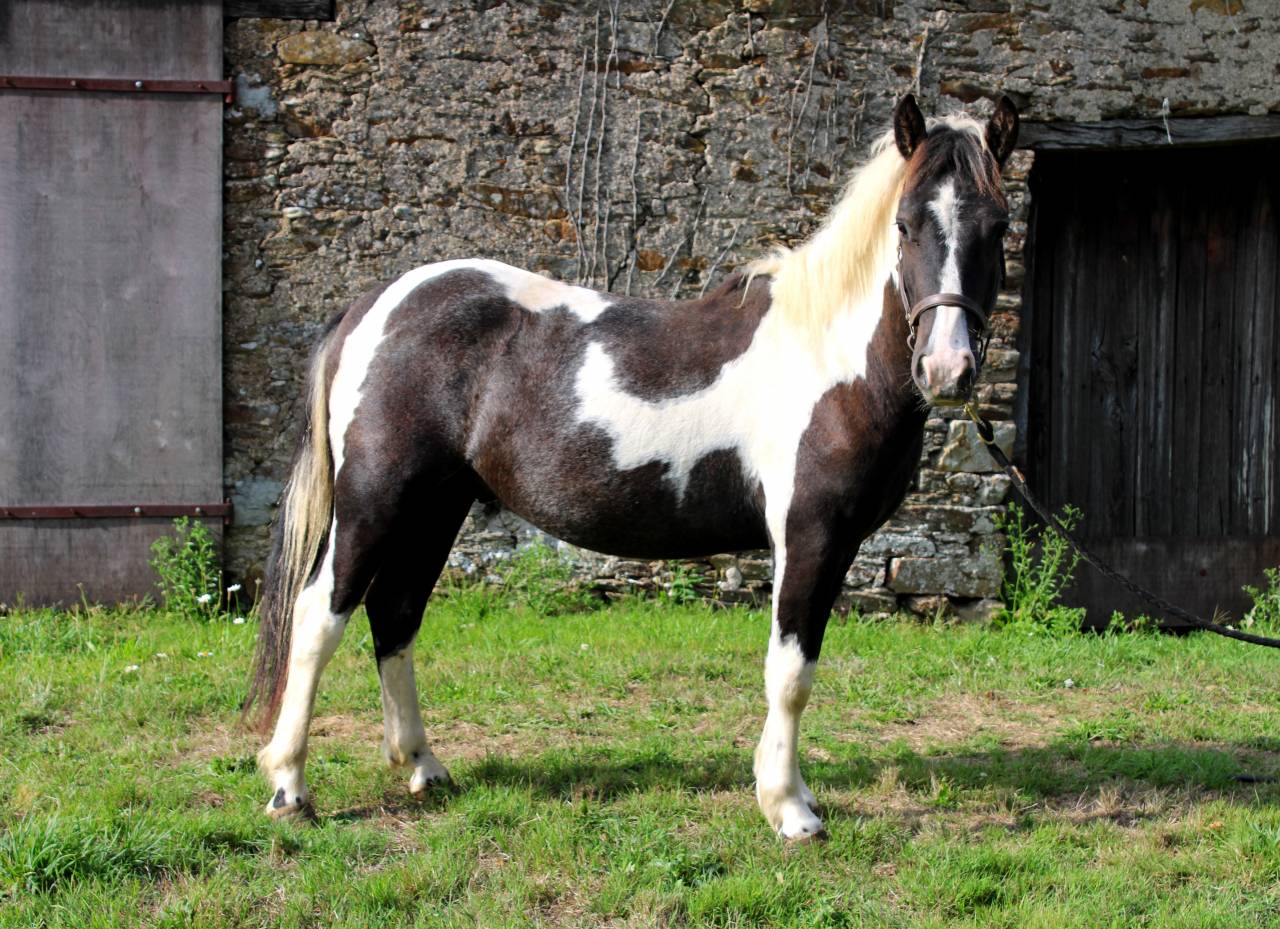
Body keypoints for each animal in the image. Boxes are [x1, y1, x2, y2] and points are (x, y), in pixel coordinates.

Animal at [244, 94, 1019, 840]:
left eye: (1000, 227)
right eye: (906, 225)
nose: (947, 368)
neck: (827, 358)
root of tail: (372, 307)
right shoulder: (810, 536)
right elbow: (791, 673)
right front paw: (789, 809)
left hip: (437, 505)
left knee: (396, 613)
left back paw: (423, 768)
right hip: (374, 499)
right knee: (319, 617)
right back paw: (289, 786)